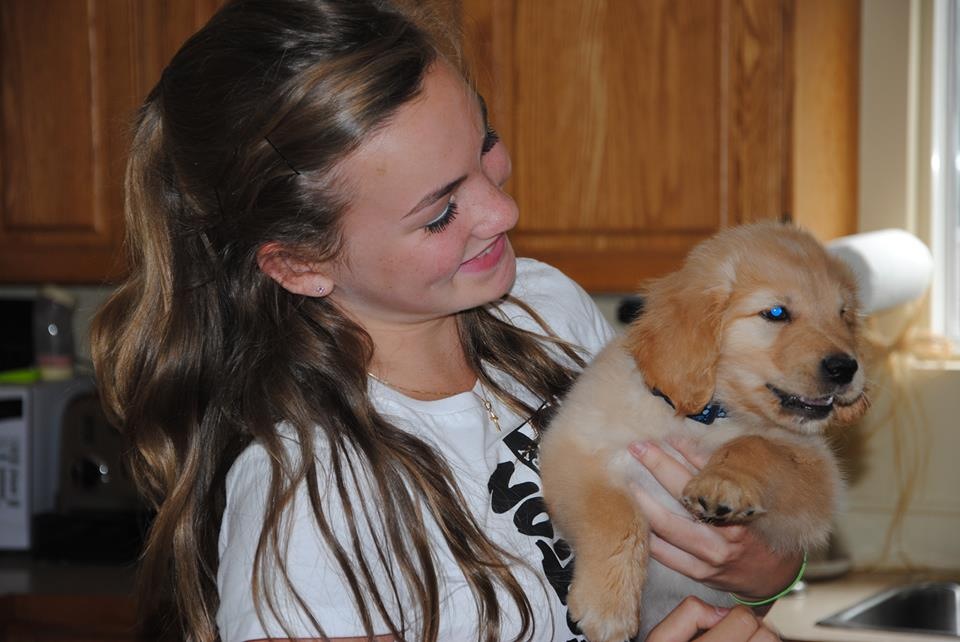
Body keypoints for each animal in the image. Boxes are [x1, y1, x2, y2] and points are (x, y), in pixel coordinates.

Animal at [540, 222, 870, 641]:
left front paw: (723, 482)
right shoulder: (572, 450)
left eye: (843, 315)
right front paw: (607, 606)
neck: (710, 417)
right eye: (776, 313)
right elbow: (615, 515)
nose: (846, 368)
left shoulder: (817, 481)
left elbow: (757, 445)